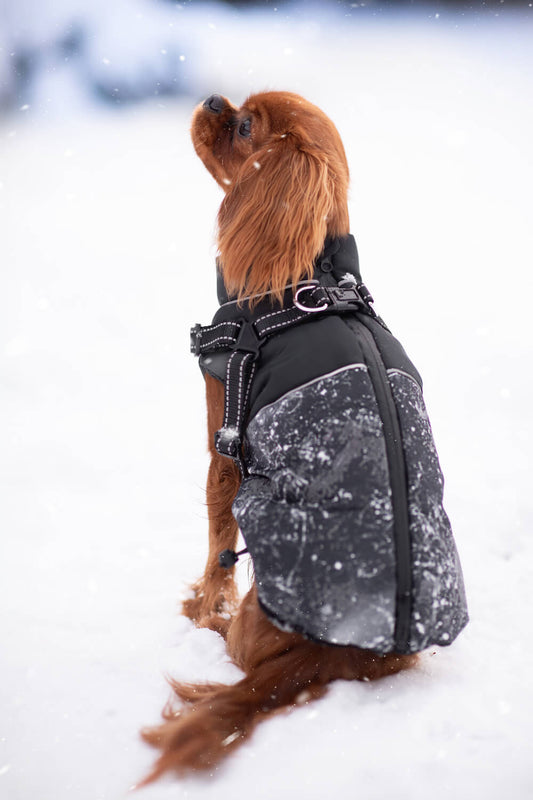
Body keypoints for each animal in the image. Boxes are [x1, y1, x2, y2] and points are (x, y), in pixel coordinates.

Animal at [140, 89, 466, 780]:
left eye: (242, 127)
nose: (211, 98)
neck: (310, 278)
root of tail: (331, 655)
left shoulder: (224, 436)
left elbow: (216, 536)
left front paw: (203, 602)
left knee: (239, 646)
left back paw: (211, 628)